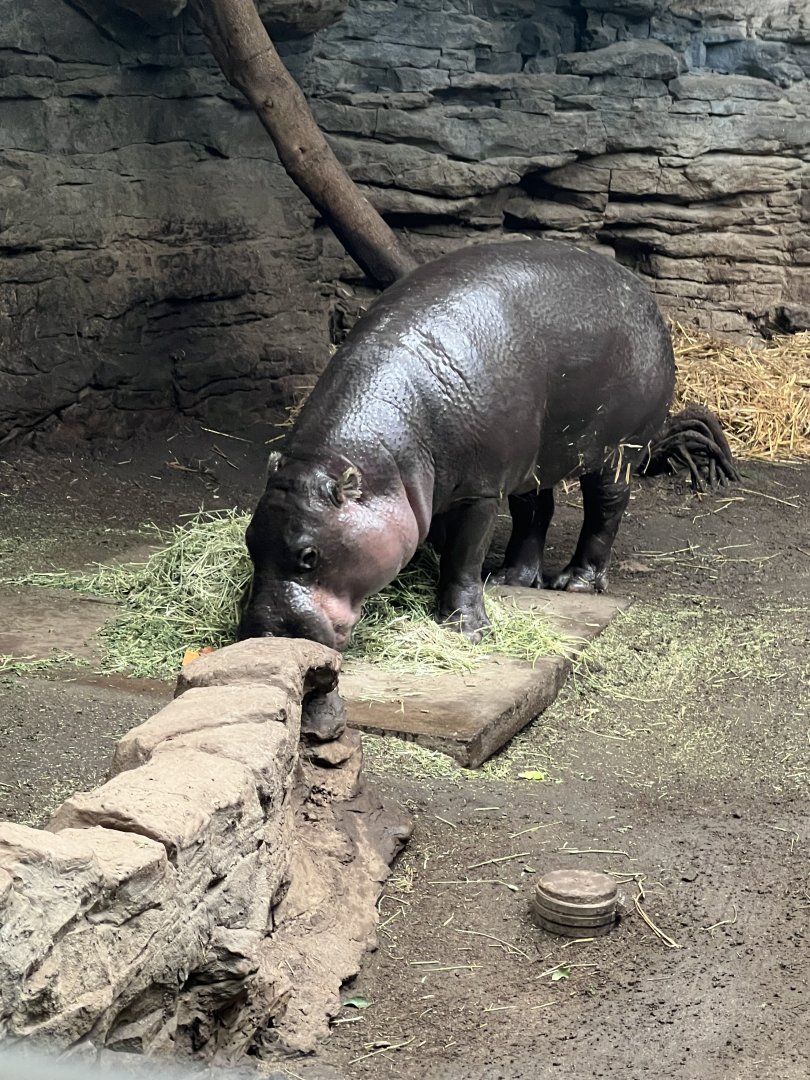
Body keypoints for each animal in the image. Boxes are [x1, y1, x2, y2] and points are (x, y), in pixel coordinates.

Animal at [238, 239, 675, 650]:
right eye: (249, 541)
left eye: (309, 556)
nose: (264, 633)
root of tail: (643, 294)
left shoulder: (478, 492)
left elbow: (462, 560)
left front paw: (467, 630)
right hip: (532, 458)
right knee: (534, 510)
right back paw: (510, 579)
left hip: (618, 450)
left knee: (606, 507)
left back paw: (576, 582)